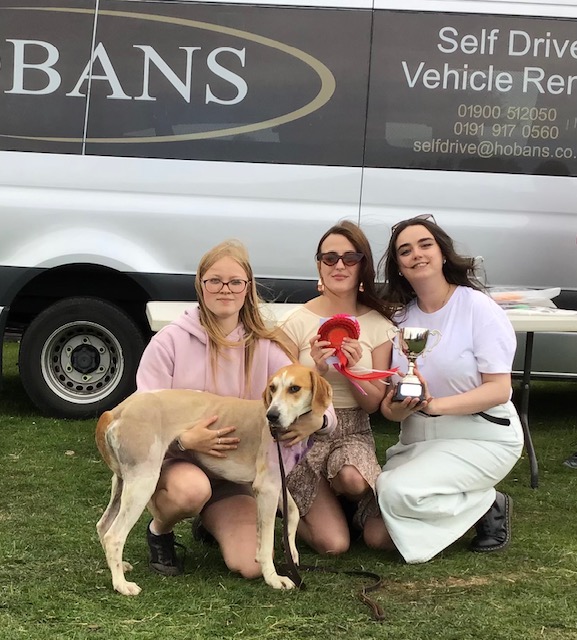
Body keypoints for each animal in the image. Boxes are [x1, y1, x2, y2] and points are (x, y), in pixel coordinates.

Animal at [95, 363, 332, 596]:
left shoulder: (277, 484)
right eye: (272, 388)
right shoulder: (266, 488)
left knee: (103, 525)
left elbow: (293, 513)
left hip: (122, 483)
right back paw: (121, 584)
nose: (272, 416)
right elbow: (265, 544)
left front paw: (292, 552)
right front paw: (274, 578)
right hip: (142, 484)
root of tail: (116, 411)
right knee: (114, 536)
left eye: (294, 388)